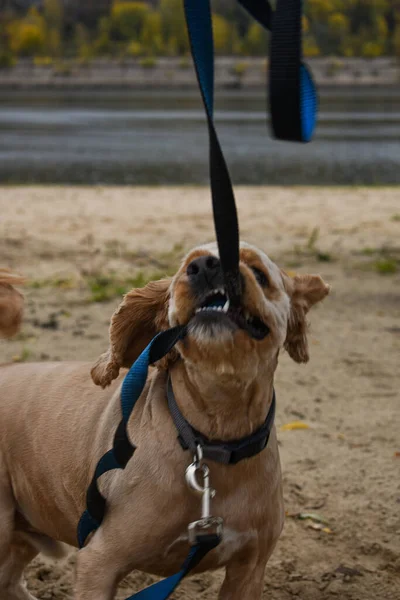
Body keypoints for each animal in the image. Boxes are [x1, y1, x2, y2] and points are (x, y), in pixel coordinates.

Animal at [0, 241, 330, 596]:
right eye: (185, 267)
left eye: (259, 273)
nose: (206, 266)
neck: (212, 437)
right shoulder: (99, 562)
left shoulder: (249, 568)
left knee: (9, 580)